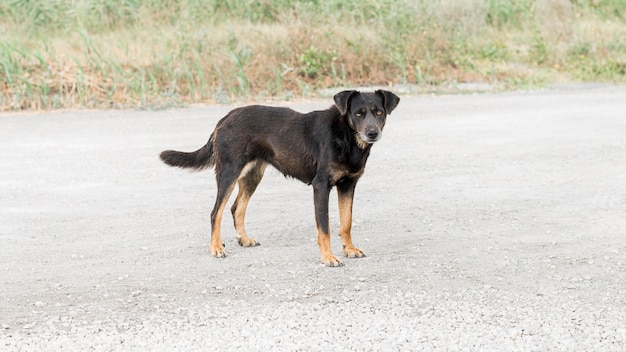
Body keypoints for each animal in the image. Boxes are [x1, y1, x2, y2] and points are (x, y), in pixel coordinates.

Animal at [158, 89, 398, 266]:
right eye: (358, 113)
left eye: (378, 112)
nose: (372, 133)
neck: (347, 136)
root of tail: (225, 118)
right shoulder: (321, 186)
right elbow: (325, 228)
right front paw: (328, 257)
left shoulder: (348, 185)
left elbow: (346, 223)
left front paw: (349, 249)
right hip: (229, 172)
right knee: (215, 212)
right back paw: (216, 247)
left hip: (253, 175)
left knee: (237, 208)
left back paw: (244, 239)